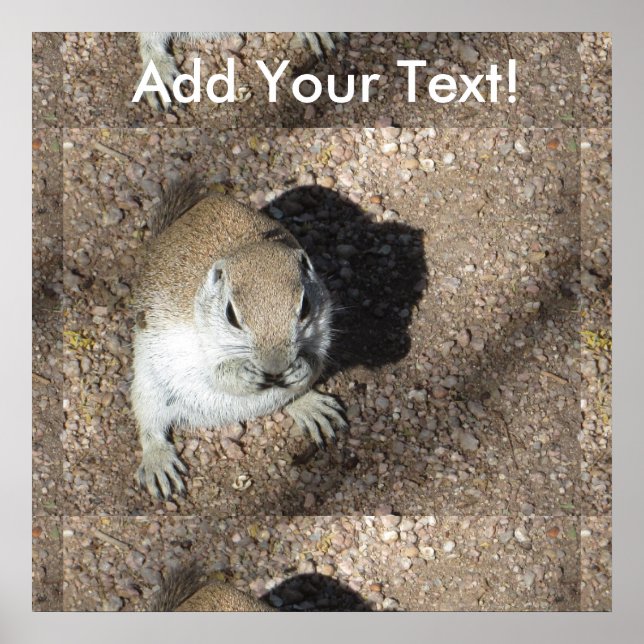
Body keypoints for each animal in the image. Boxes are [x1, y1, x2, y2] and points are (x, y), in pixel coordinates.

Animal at [132, 178, 346, 499]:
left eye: (305, 306)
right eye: (230, 314)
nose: (275, 367)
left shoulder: (323, 328)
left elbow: (316, 359)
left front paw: (300, 369)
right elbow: (215, 375)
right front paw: (242, 374)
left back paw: (308, 404)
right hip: (148, 385)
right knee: (150, 426)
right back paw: (158, 461)